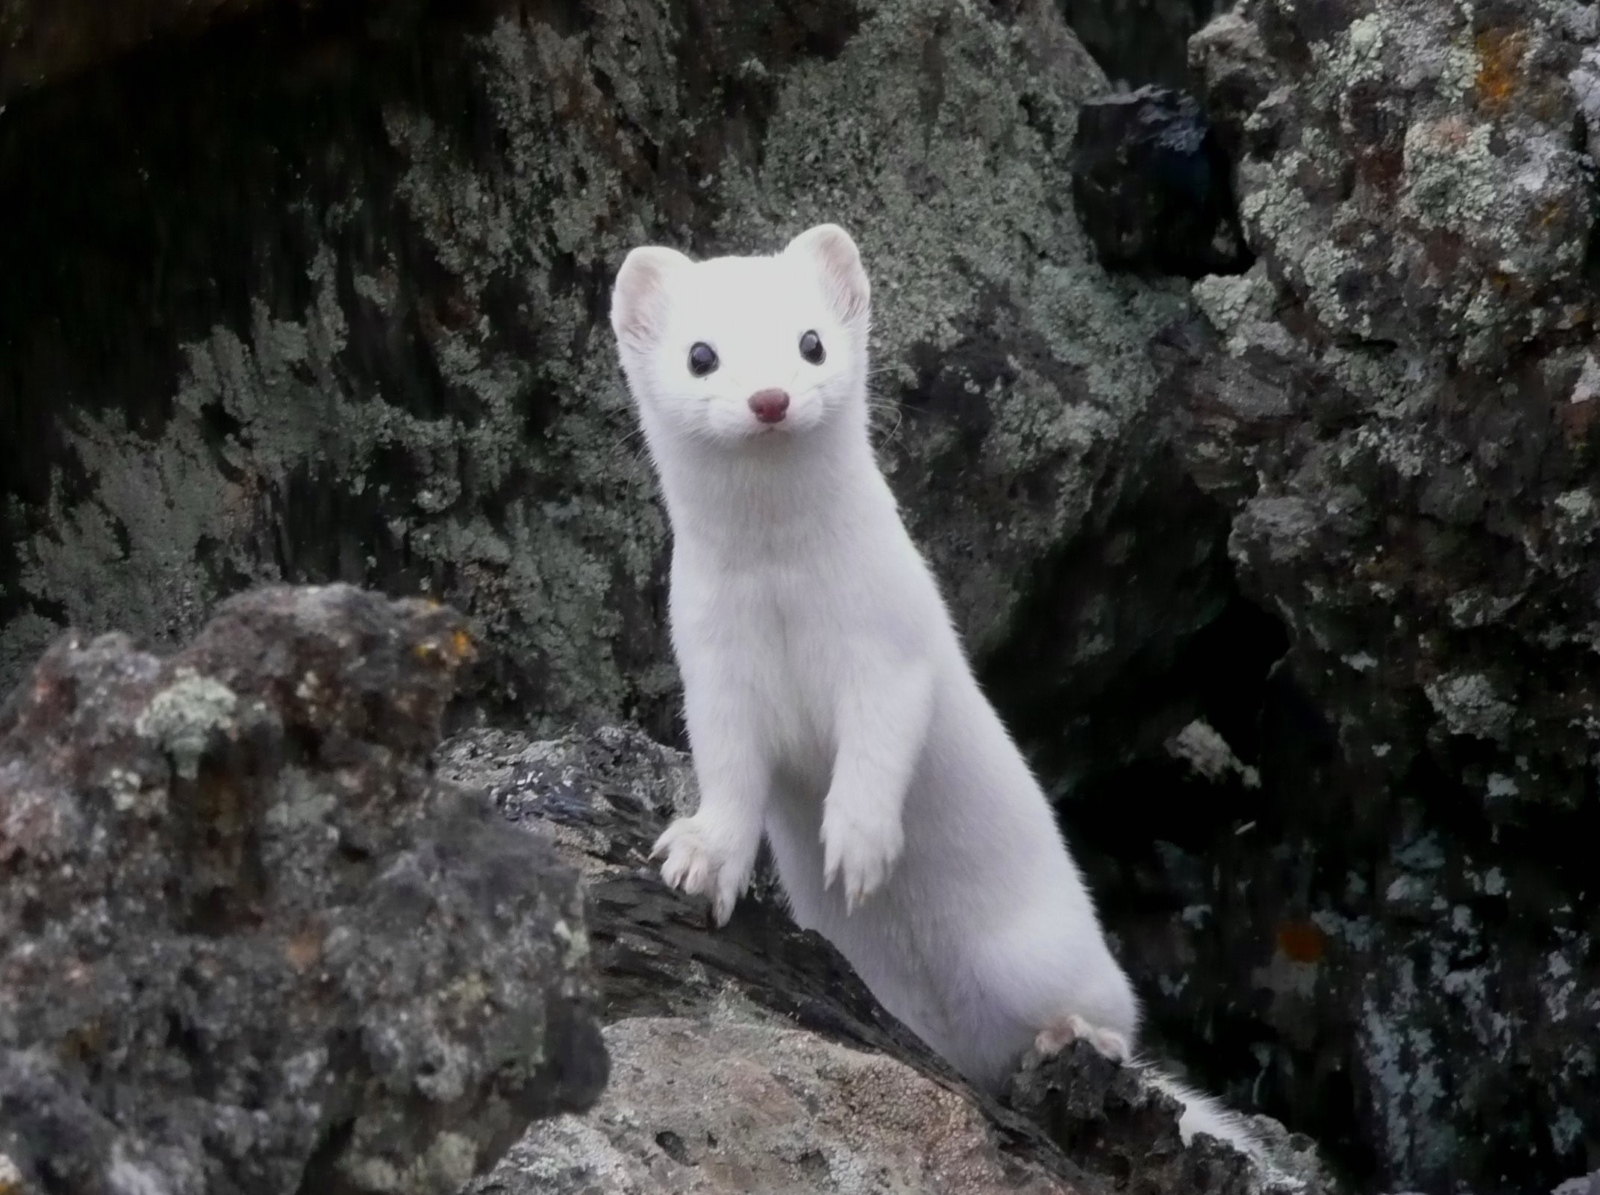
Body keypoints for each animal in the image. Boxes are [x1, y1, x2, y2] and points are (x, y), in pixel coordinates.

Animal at [611, 223, 1260, 1158]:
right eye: (701, 353)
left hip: (1047, 950)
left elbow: (884, 739)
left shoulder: (892, 635)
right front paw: (700, 858)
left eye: (812, 341)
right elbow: (730, 770)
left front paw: (858, 844)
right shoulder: (710, 656)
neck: (782, 591)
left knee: (1115, 1016)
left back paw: (1076, 1034)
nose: (770, 398)